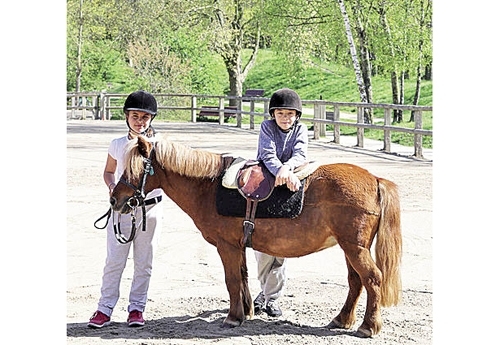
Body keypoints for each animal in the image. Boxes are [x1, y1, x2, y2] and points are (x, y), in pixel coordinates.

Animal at [110, 134, 402, 336]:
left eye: (134, 168)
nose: (115, 199)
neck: (207, 186)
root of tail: (375, 180)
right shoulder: (238, 246)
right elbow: (242, 277)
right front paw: (247, 312)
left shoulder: (226, 246)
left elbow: (231, 280)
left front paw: (233, 317)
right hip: (350, 247)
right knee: (356, 282)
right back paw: (342, 319)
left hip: (355, 248)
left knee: (372, 279)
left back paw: (368, 326)